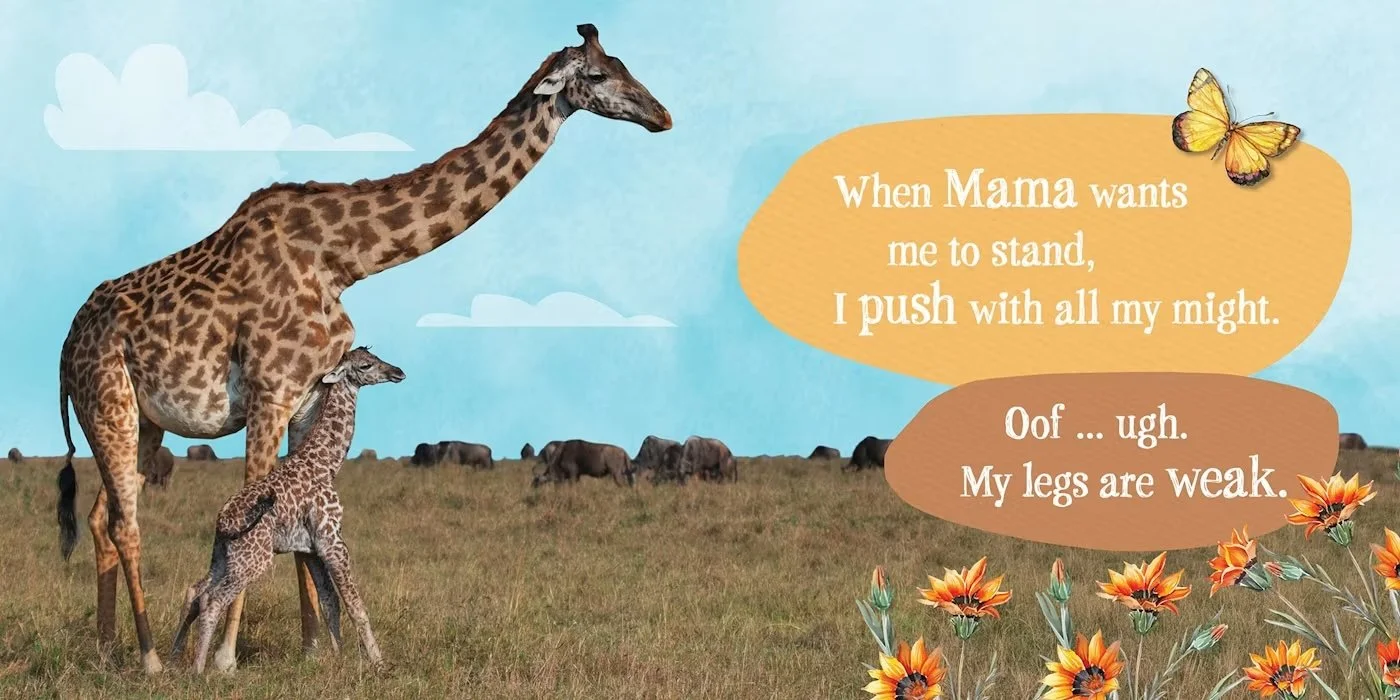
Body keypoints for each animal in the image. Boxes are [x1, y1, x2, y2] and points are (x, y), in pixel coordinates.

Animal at [171, 347, 402, 673]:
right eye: (366, 365)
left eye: (377, 355)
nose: (398, 372)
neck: (327, 464)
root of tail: (223, 521)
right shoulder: (332, 540)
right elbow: (355, 605)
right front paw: (378, 664)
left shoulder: (311, 548)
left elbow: (330, 604)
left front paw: (338, 659)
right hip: (253, 560)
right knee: (213, 601)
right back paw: (199, 671)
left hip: (223, 558)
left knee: (195, 593)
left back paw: (172, 659)